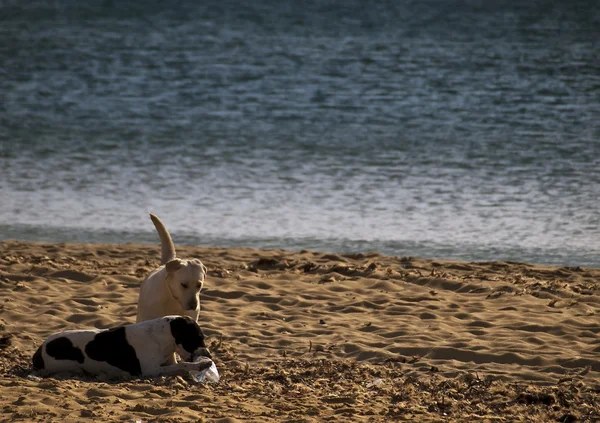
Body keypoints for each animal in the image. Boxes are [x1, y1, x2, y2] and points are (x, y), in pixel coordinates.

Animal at [32, 316, 213, 380]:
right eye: (198, 338)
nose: (209, 356)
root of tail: (39, 351)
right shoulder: (150, 370)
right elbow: (184, 364)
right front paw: (202, 364)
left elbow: (180, 365)